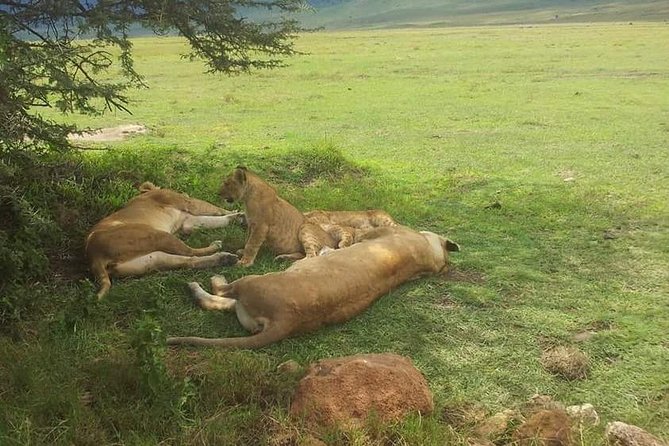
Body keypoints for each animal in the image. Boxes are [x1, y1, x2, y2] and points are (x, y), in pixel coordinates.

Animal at [86, 182, 241, 299]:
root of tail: (94, 254)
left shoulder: (187, 221)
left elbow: (217, 220)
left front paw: (238, 217)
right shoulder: (189, 203)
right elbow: (216, 209)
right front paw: (238, 214)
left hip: (153, 259)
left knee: (189, 261)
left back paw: (225, 258)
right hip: (158, 235)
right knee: (190, 252)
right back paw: (218, 247)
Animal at [167, 225, 460, 348]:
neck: (430, 256)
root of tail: (287, 320)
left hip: (254, 281)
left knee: (220, 292)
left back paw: (207, 279)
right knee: (218, 301)